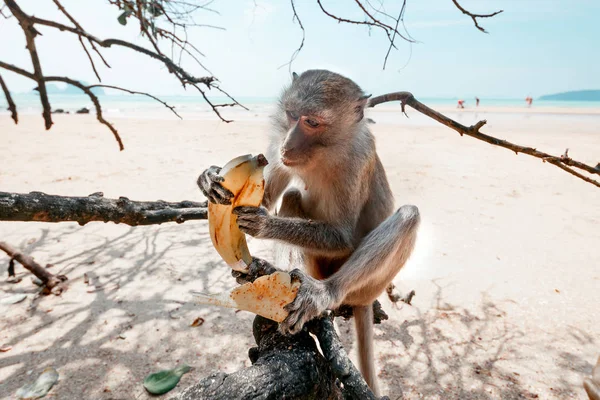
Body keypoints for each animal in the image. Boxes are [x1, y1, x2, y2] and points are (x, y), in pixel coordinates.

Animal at [199, 69, 420, 394]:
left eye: (312, 122)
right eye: (291, 115)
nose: (287, 144)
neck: (324, 152)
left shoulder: (356, 160)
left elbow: (342, 237)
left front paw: (266, 224)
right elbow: (267, 197)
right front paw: (208, 177)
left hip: (367, 286)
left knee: (408, 216)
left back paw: (322, 294)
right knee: (291, 196)